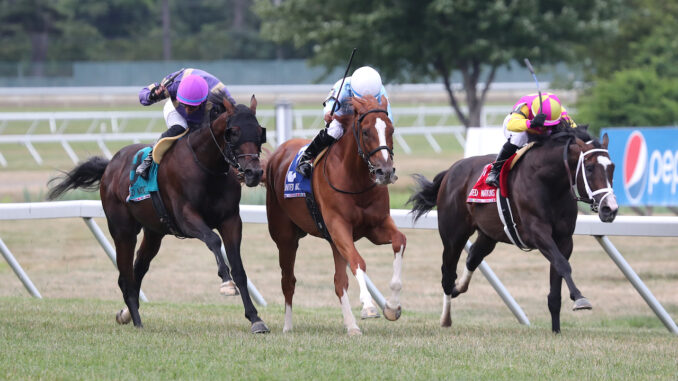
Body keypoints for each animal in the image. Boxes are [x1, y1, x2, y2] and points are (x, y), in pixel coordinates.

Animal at [47, 95, 270, 332]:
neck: (206, 167)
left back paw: (126, 314)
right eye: (233, 132)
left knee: (138, 269)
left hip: (154, 232)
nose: (254, 172)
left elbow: (239, 269)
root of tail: (110, 166)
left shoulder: (231, 220)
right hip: (122, 230)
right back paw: (137, 322)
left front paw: (255, 318)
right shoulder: (185, 217)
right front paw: (226, 282)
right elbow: (213, 239)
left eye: (259, 132)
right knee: (125, 276)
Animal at [266, 95, 406, 336]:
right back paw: (287, 326)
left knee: (339, 282)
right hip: (285, 238)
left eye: (391, 129)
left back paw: (351, 326)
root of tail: (278, 152)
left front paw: (392, 306)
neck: (356, 180)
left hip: (332, 242)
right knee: (288, 280)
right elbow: (358, 261)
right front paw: (368, 306)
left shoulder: (376, 226)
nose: (385, 172)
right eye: (366, 131)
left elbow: (399, 240)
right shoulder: (339, 226)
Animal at [410, 125, 620, 332]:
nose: (610, 208)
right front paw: (579, 298)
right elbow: (562, 264)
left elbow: (556, 282)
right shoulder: (537, 233)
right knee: (447, 273)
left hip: (488, 235)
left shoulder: (564, 239)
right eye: (590, 168)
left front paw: (556, 330)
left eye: (612, 167)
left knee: (473, 258)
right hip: (453, 235)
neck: (548, 182)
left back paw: (458, 288)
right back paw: (446, 318)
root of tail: (451, 171)